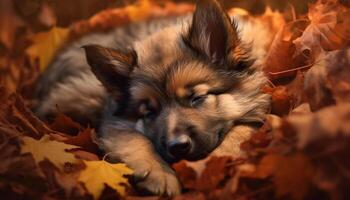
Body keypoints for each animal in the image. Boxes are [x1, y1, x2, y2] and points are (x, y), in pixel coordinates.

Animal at [34, 0, 270, 196]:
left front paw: (210, 164)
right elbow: (135, 140)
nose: (177, 146)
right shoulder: (115, 122)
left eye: (196, 98)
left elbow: (241, 133)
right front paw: (159, 174)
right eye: (150, 112)